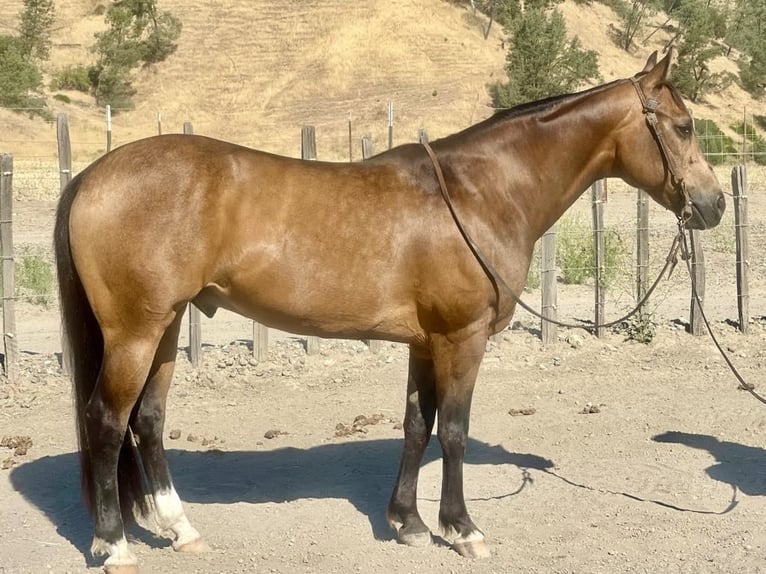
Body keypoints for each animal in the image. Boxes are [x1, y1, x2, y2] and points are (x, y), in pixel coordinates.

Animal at [54, 50, 724, 573]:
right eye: (684, 126)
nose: (714, 205)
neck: (479, 191)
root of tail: (93, 174)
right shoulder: (462, 338)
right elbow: (453, 431)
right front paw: (463, 529)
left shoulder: (426, 342)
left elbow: (416, 426)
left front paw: (408, 523)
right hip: (135, 333)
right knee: (107, 421)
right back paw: (115, 546)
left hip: (164, 330)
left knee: (148, 421)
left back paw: (181, 529)